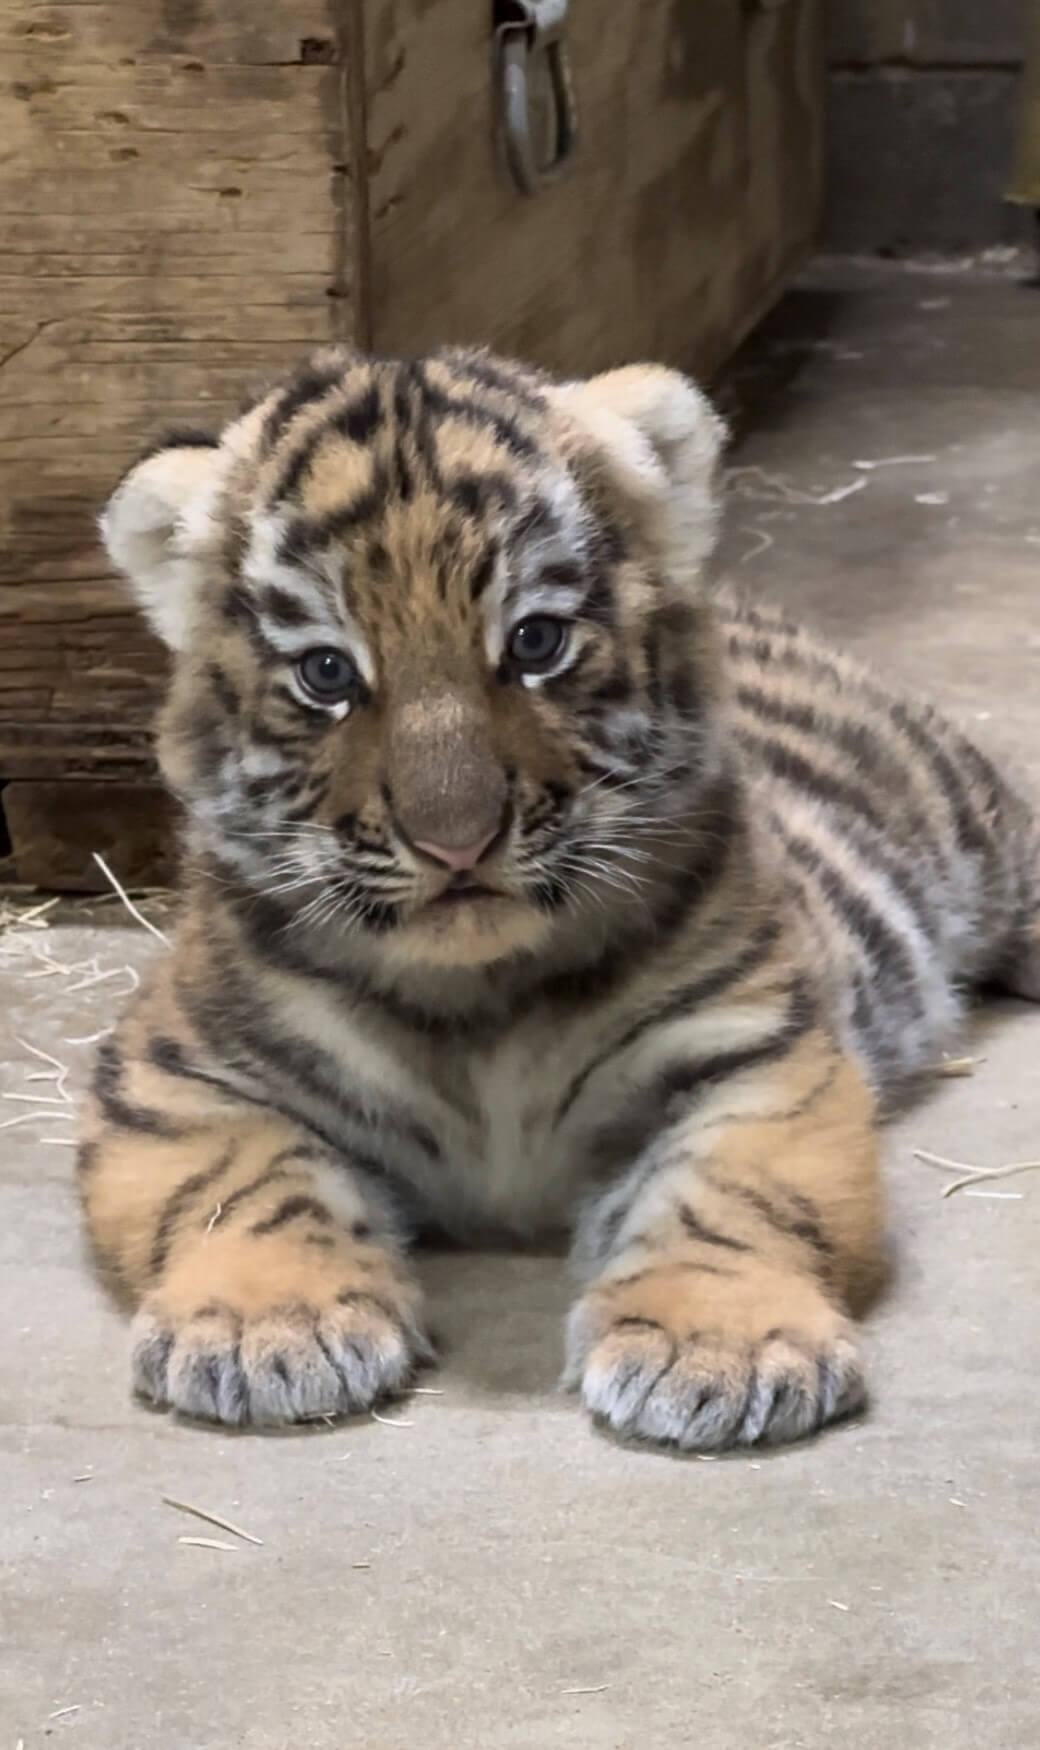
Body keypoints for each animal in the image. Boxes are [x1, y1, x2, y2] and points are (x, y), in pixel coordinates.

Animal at [82, 343, 1040, 1451]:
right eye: (326, 673)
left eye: (534, 644)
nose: (455, 840)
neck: (477, 996)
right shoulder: (177, 1074)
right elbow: (244, 1185)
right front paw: (265, 1328)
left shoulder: (761, 1057)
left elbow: (726, 1195)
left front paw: (719, 1348)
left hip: (972, 825)